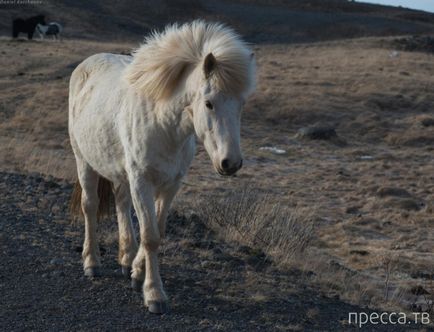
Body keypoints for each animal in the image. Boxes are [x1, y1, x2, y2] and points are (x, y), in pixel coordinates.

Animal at [68, 20, 254, 314]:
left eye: (242, 104)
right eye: (209, 103)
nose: (231, 163)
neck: (162, 122)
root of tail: (86, 65)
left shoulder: (171, 184)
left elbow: (158, 229)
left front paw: (136, 272)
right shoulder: (142, 181)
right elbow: (150, 236)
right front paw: (154, 294)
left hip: (121, 173)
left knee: (121, 204)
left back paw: (125, 258)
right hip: (84, 161)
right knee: (90, 206)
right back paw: (92, 262)